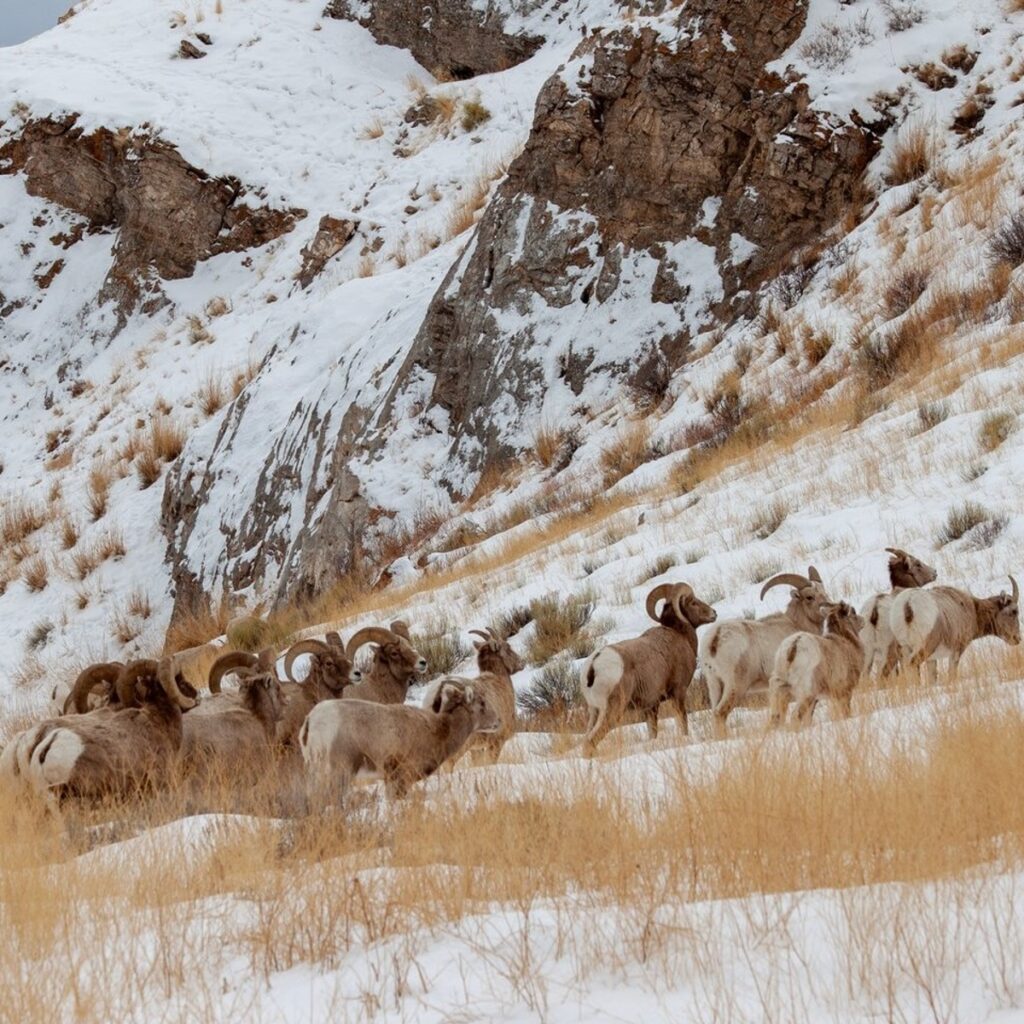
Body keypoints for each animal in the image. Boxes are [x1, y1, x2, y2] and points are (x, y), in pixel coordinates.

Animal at [300, 682, 499, 807]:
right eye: (482, 703)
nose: (498, 722)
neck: (439, 730)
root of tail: (311, 720)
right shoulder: (401, 778)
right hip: (339, 773)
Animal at [579, 583, 717, 755]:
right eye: (693, 602)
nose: (714, 613)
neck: (679, 635)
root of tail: (593, 665)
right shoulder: (678, 693)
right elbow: (682, 722)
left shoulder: (650, 707)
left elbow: (653, 733)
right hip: (611, 711)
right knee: (592, 740)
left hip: (594, 711)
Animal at [700, 566, 831, 738]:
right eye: (809, 597)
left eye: (824, 592)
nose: (828, 607)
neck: (796, 625)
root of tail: (715, 639)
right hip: (735, 686)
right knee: (720, 713)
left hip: (714, 685)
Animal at [890, 576, 1020, 684]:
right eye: (1014, 611)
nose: (1017, 638)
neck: (972, 608)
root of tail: (908, 603)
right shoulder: (956, 652)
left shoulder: (932, 659)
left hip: (904, 650)